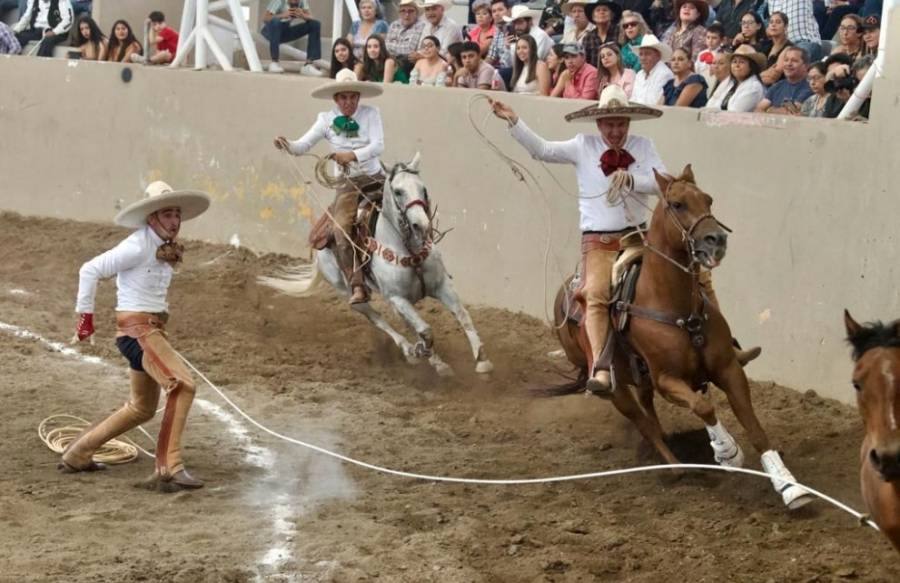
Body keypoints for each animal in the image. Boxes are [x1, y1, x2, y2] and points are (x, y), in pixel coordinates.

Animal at [256, 153, 496, 376]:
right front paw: (426, 354)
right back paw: (410, 351)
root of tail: (318, 249)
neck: (409, 249)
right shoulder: (397, 298)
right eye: (398, 191)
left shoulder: (441, 286)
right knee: (379, 320)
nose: (421, 225)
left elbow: (462, 315)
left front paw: (482, 360)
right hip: (351, 295)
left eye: (423, 189)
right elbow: (426, 331)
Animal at [548, 165, 816, 512]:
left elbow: (755, 428)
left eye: (708, 199)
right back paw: (675, 467)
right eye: (677, 204)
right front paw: (726, 452)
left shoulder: (728, 369)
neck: (672, 305)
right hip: (615, 389)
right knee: (644, 423)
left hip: (641, 380)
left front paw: (790, 488)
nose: (716, 240)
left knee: (649, 412)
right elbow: (703, 406)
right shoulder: (668, 380)